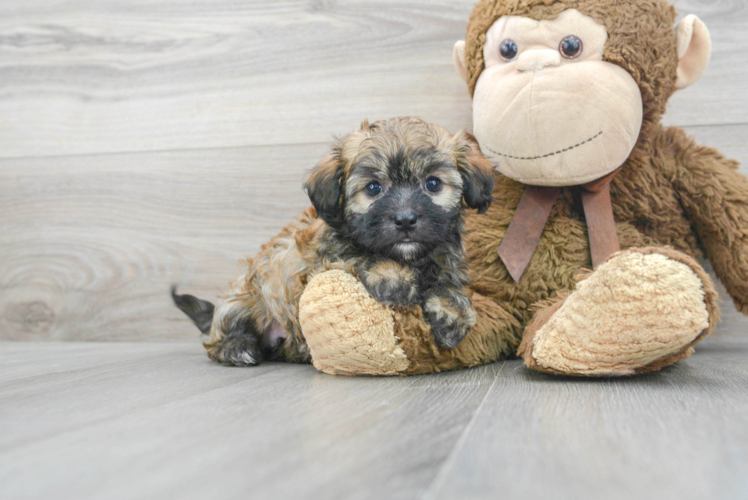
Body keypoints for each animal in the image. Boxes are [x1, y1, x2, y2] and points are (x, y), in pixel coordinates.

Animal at [172, 117, 494, 368]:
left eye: (433, 184)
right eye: (373, 188)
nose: (404, 220)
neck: (410, 257)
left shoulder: (446, 258)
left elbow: (448, 284)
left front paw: (451, 313)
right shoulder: (322, 256)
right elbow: (359, 252)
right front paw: (395, 277)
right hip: (244, 297)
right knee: (222, 335)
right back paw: (237, 347)